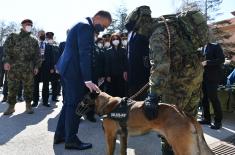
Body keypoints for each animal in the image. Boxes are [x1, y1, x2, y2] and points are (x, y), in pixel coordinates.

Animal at [81, 92, 215, 155]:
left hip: (181, 147)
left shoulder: (110, 136)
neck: (107, 103)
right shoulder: (123, 135)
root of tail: (185, 113)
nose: (77, 110)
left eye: (84, 99)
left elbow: (109, 151)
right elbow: (123, 151)